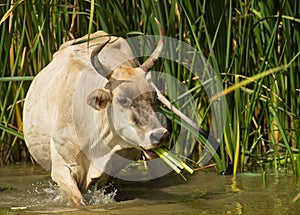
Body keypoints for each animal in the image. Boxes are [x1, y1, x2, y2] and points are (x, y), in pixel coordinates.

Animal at [22, 20, 169, 207]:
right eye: (122, 99)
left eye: (154, 96)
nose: (161, 135)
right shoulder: (62, 170)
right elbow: (80, 201)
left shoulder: (103, 173)